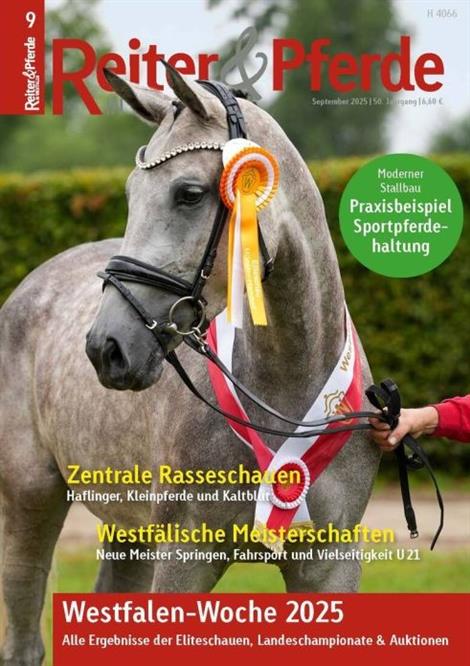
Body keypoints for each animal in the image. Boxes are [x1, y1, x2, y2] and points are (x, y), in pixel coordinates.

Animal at [0, 65, 380, 665]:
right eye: (131, 193)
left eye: (190, 194)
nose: (107, 348)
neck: (284, 393)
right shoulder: (186, 556)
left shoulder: (330, 565)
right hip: (30, 499)